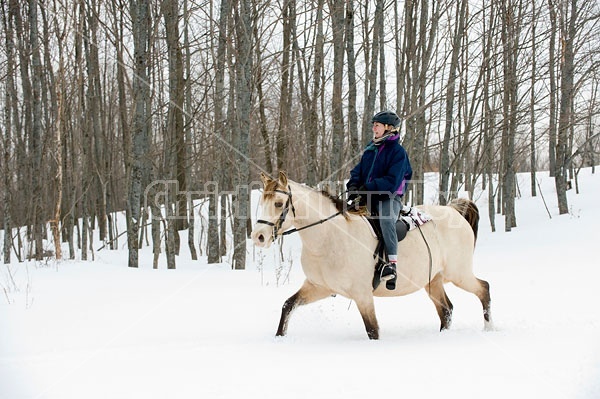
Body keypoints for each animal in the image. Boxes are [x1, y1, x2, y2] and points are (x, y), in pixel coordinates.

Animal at [250, 172, 492, 340]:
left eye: (278, 204)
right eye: (262, 203)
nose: (258, 236)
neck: (329, 238)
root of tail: (453, 211)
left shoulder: (363, 295)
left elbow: (372, 330)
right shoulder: (318, 287)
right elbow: (287, 306)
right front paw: (279, 338)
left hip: (459, 274)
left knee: (483, 289)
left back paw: (489, 328)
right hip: (433, 280)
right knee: (446, 310)